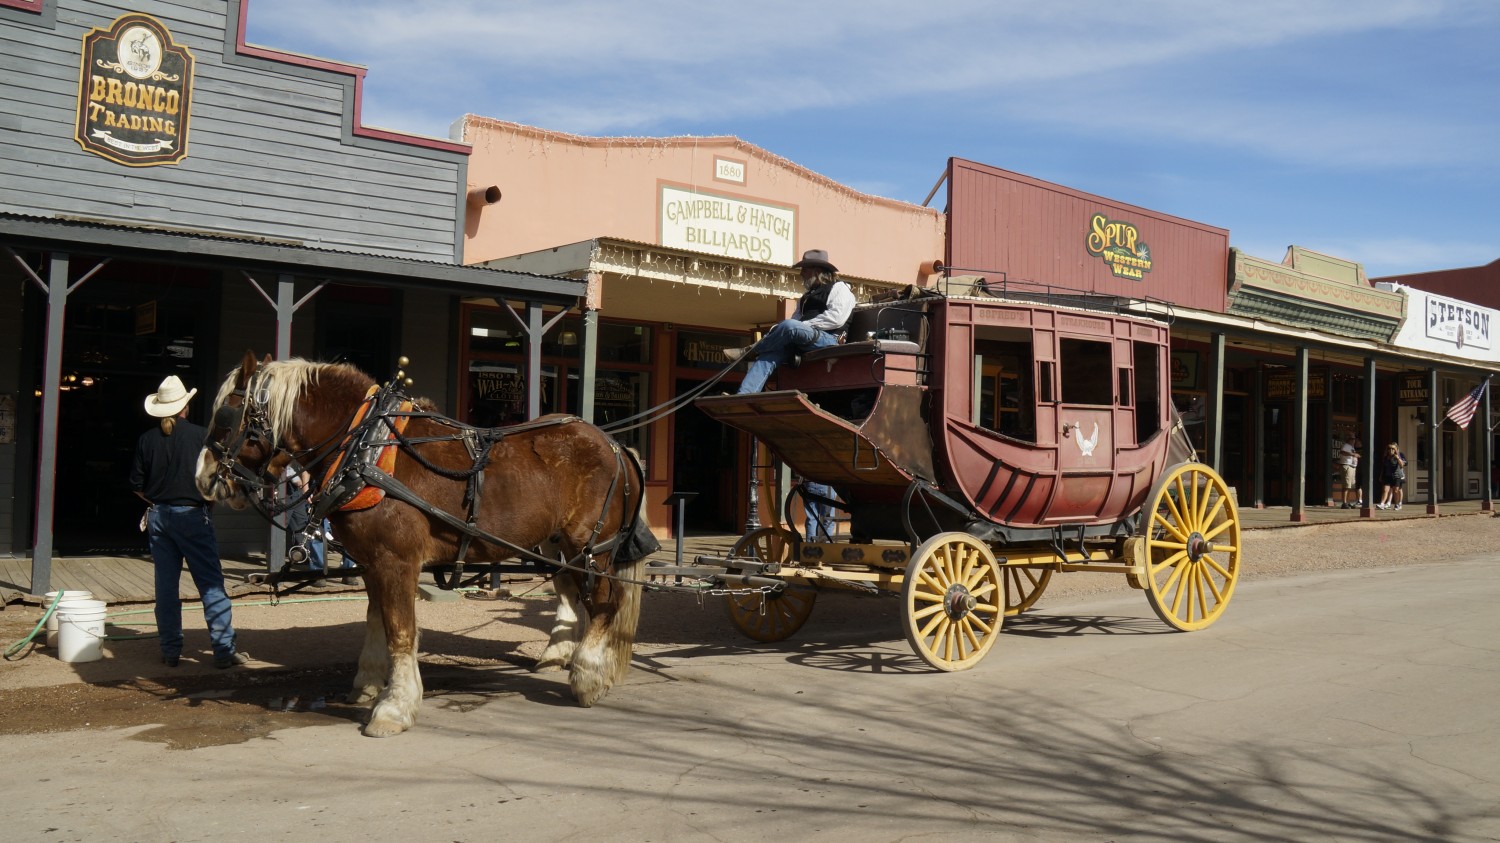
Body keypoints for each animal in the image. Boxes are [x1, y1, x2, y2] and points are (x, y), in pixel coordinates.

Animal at [195, 351, 651, 732]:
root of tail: (614, 444)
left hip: (590, 547)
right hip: (560, 547)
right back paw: (565, 658)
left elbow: (400, 630)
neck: (365, 446)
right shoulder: (371, 561)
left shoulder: (396, 560)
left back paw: (587, 676)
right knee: (576, 595)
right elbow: (376, 621)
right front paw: (367, 682)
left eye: (225, 415)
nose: (203, 478)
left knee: (606, 603)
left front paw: (393, 707)